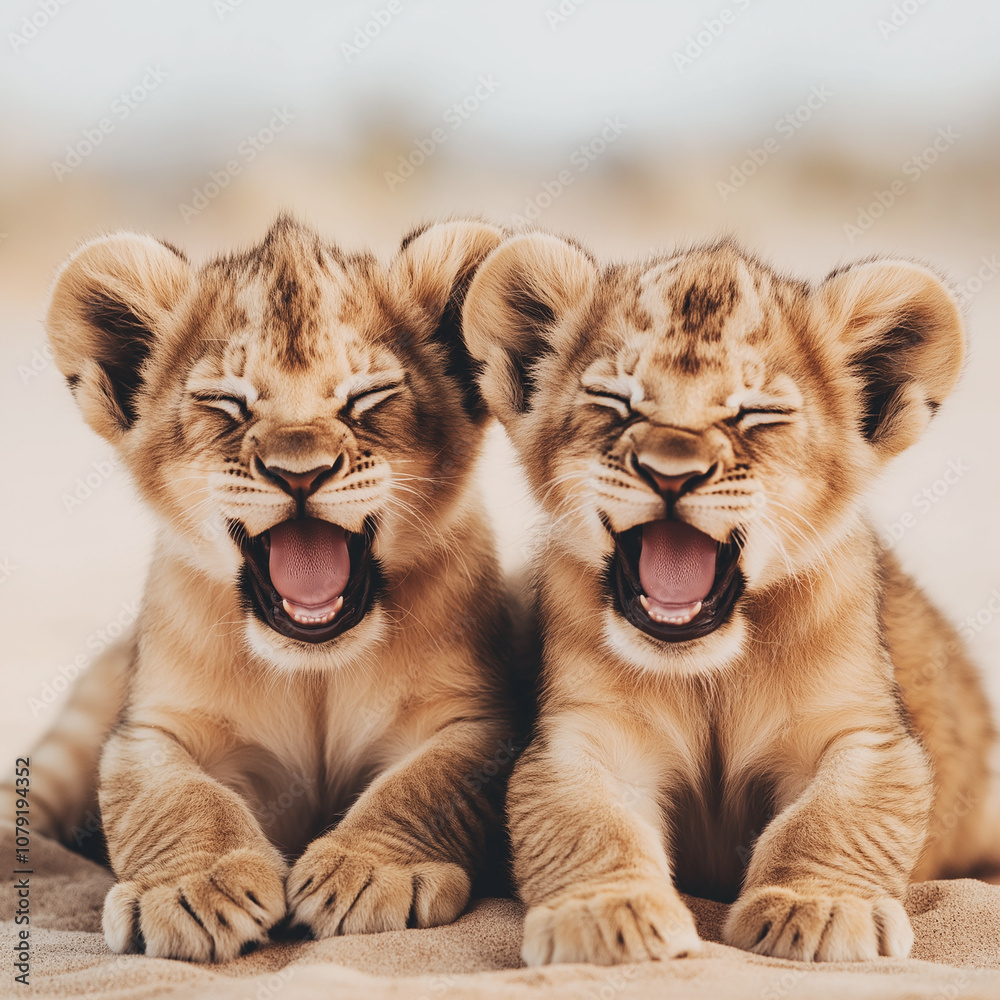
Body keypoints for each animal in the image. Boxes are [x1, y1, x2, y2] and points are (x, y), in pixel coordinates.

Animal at [461, 231, 999, 965]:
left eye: (756, 413)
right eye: (616, 401)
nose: (670, 473)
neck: (709, 672)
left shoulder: (864, 732)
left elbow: (838, 816)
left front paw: (818, 907)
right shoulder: (583, 736)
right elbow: (586, 822)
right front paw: (609, 918)